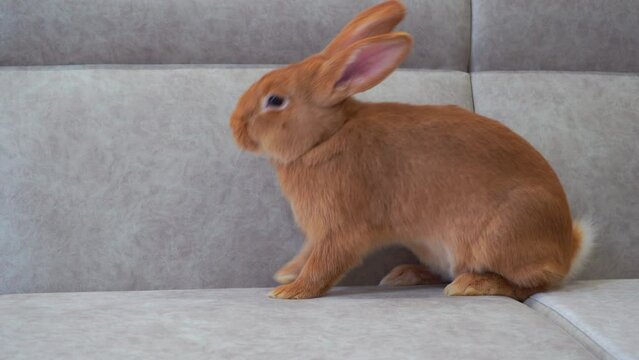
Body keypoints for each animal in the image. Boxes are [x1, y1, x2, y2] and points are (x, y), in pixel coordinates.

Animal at [229, 0, 596, 300]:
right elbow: (307, 254)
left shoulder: (341, 228)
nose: (234, 126)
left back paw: (472, 285)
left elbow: (323, 262)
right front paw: (286, 273)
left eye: (275, 101)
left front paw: (291, 290)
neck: (327, 136)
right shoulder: (321, 231)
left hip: (500, 235)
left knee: (534, 284)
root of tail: (566, 249)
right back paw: (406, 275)